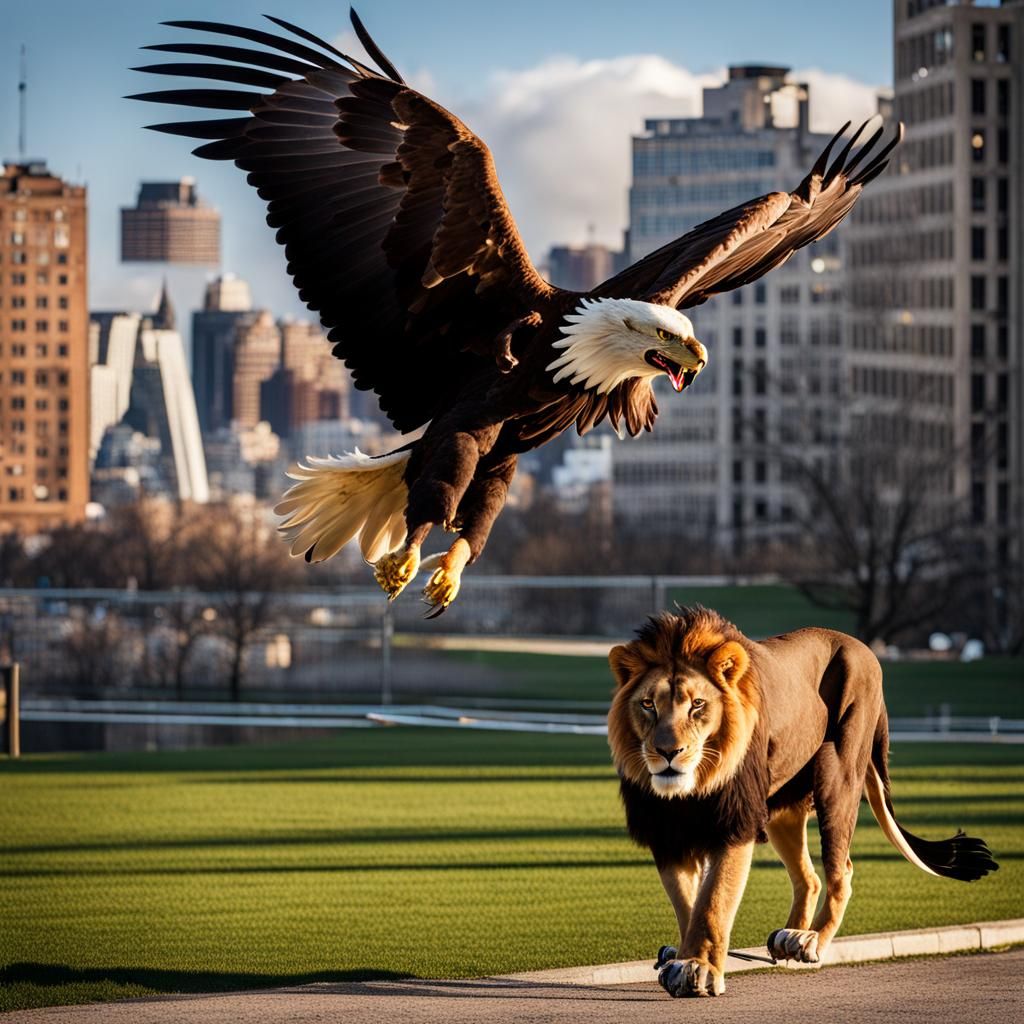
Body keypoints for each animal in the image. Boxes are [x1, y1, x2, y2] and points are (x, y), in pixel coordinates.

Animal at [607, 607, 998, 999]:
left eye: (698, 705)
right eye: (647, 705)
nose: (668, 753)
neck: (692, 787)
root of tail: (864, 648)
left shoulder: (733, 824)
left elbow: (713, 901)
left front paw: (697, 967)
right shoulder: (666, 835)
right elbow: (689, 904)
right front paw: (684, 960)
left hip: (838, 775)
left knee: (842, 872)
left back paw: (810, 940)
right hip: (781, 811)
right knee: (809, 877)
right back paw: (788, 939)